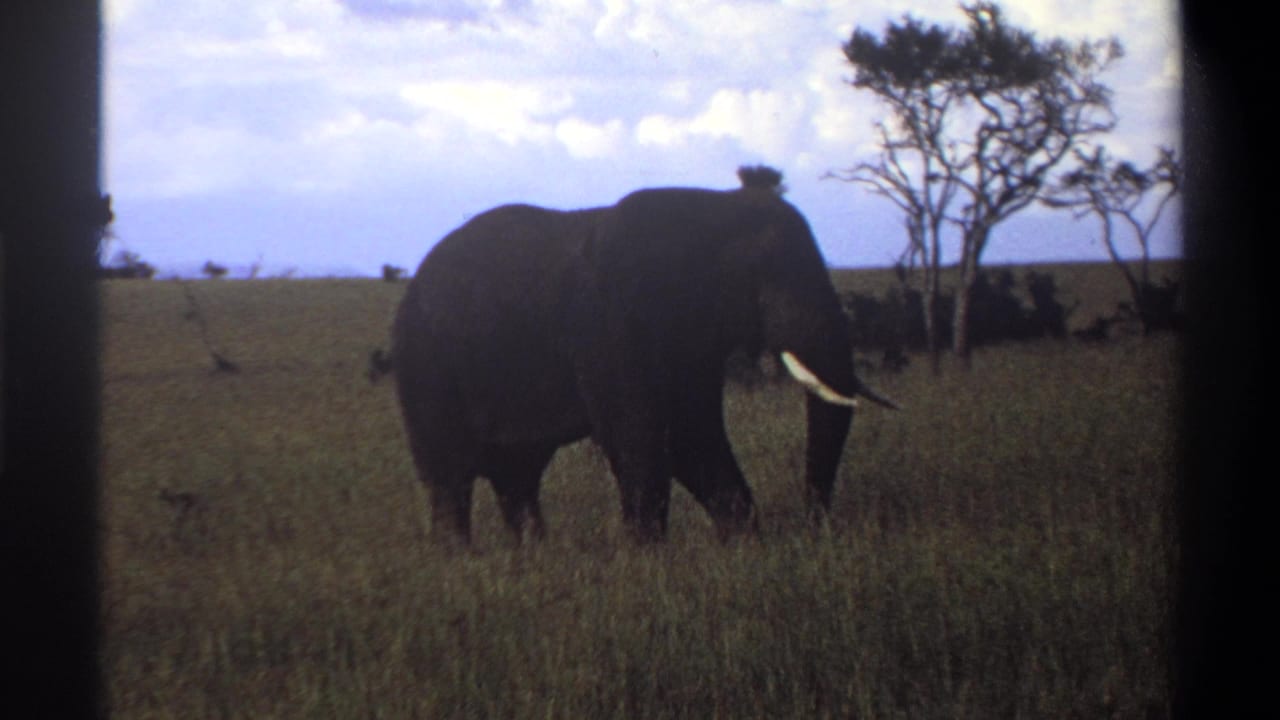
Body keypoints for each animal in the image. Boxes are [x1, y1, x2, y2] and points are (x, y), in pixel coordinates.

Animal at [392, 185, 896, 547]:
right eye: (766, 276)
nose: (816, 525)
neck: (711, 209)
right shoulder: (608, 324)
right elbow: (639, 438)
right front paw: (648, 561)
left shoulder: (689, 344)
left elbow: (692, 438)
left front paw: (744, 547)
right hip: (426, 368)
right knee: (451, 478)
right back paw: (462, 563)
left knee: (517, 475)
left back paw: (532, 557)